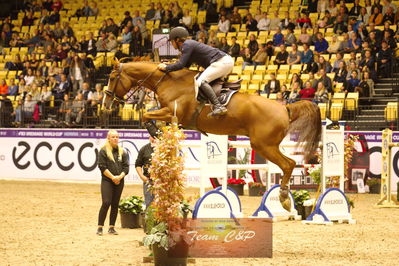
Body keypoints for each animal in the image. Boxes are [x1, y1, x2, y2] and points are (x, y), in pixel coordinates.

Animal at [102, 59, 322, 210]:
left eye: (112, 78)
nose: (106, 104)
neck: (168, 82)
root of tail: (285, 108)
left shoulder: (173, 113)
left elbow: (146, 115)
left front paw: (155, 131)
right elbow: (150, 115)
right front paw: (159, 133)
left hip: (263, 145)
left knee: (289, 164)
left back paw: (284, 198)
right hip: (266, 145)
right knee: (288, 164)